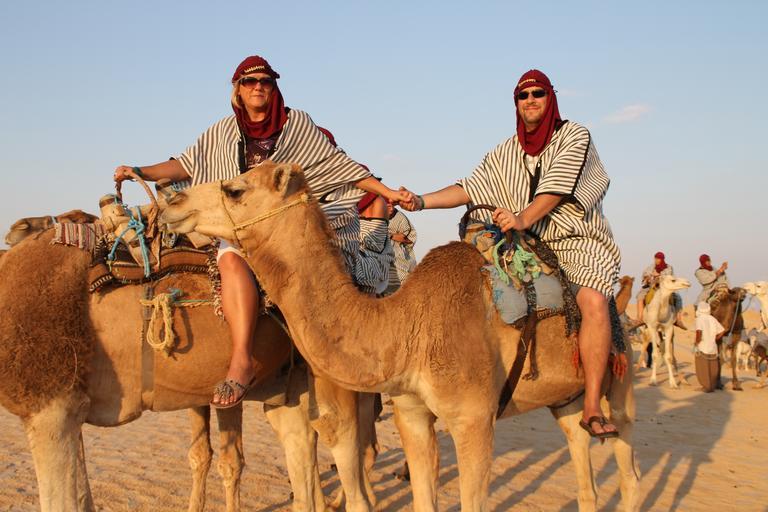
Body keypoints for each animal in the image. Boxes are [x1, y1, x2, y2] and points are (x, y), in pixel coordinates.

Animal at [159, 162, 641, 512]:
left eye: (234, 189)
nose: (171, 202)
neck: (407, 323)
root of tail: (619, 304)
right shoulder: (410, 411)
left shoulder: (473, 417)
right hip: (564, 398)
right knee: (582, 462)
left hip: (619, 381)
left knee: (629, 472)